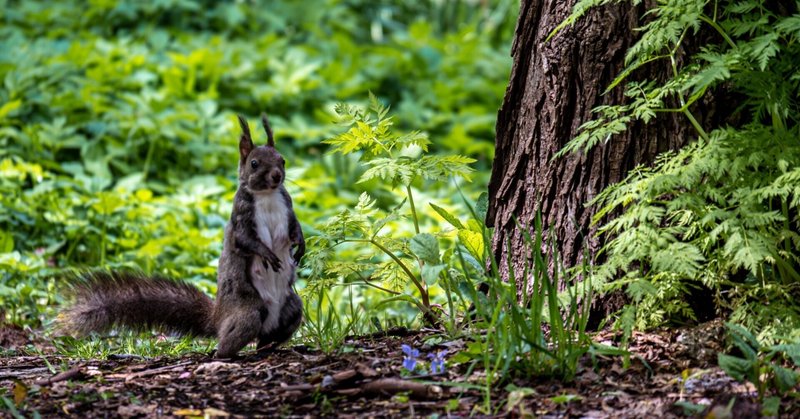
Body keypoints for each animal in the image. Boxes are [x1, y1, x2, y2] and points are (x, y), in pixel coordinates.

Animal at [58, 113, 304, 360]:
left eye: (282, 160)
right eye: (254, 163)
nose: (277, 175)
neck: (267, 195)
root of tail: (218, 318)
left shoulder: (287, 207)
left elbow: (295, 228)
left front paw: (300, 246)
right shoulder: (240, 219)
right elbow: (246, 241)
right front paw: (268, 254)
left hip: (291, 307)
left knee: (271, 333)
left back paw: (270, 348)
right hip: (248, 312)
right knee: (231, 339)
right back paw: (226, 355)